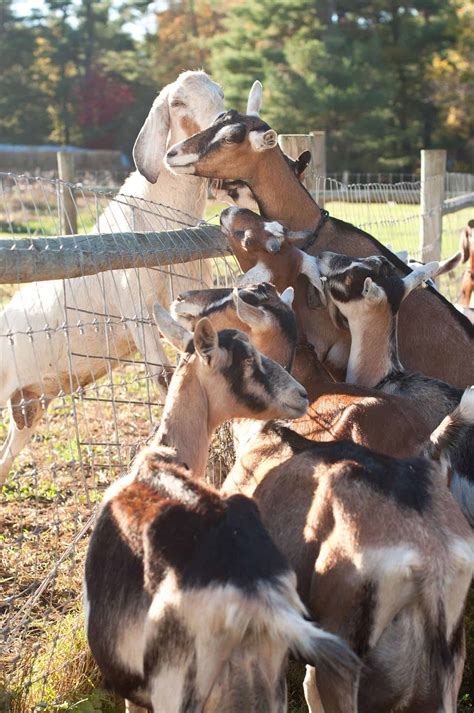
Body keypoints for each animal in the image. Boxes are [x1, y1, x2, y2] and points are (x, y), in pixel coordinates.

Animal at [0, 69, 226, 482]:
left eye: (219, 93)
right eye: (177, 103)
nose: (222, 122)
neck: (163, 227)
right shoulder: (137, 310)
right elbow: (164, 377)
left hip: (28, 403)